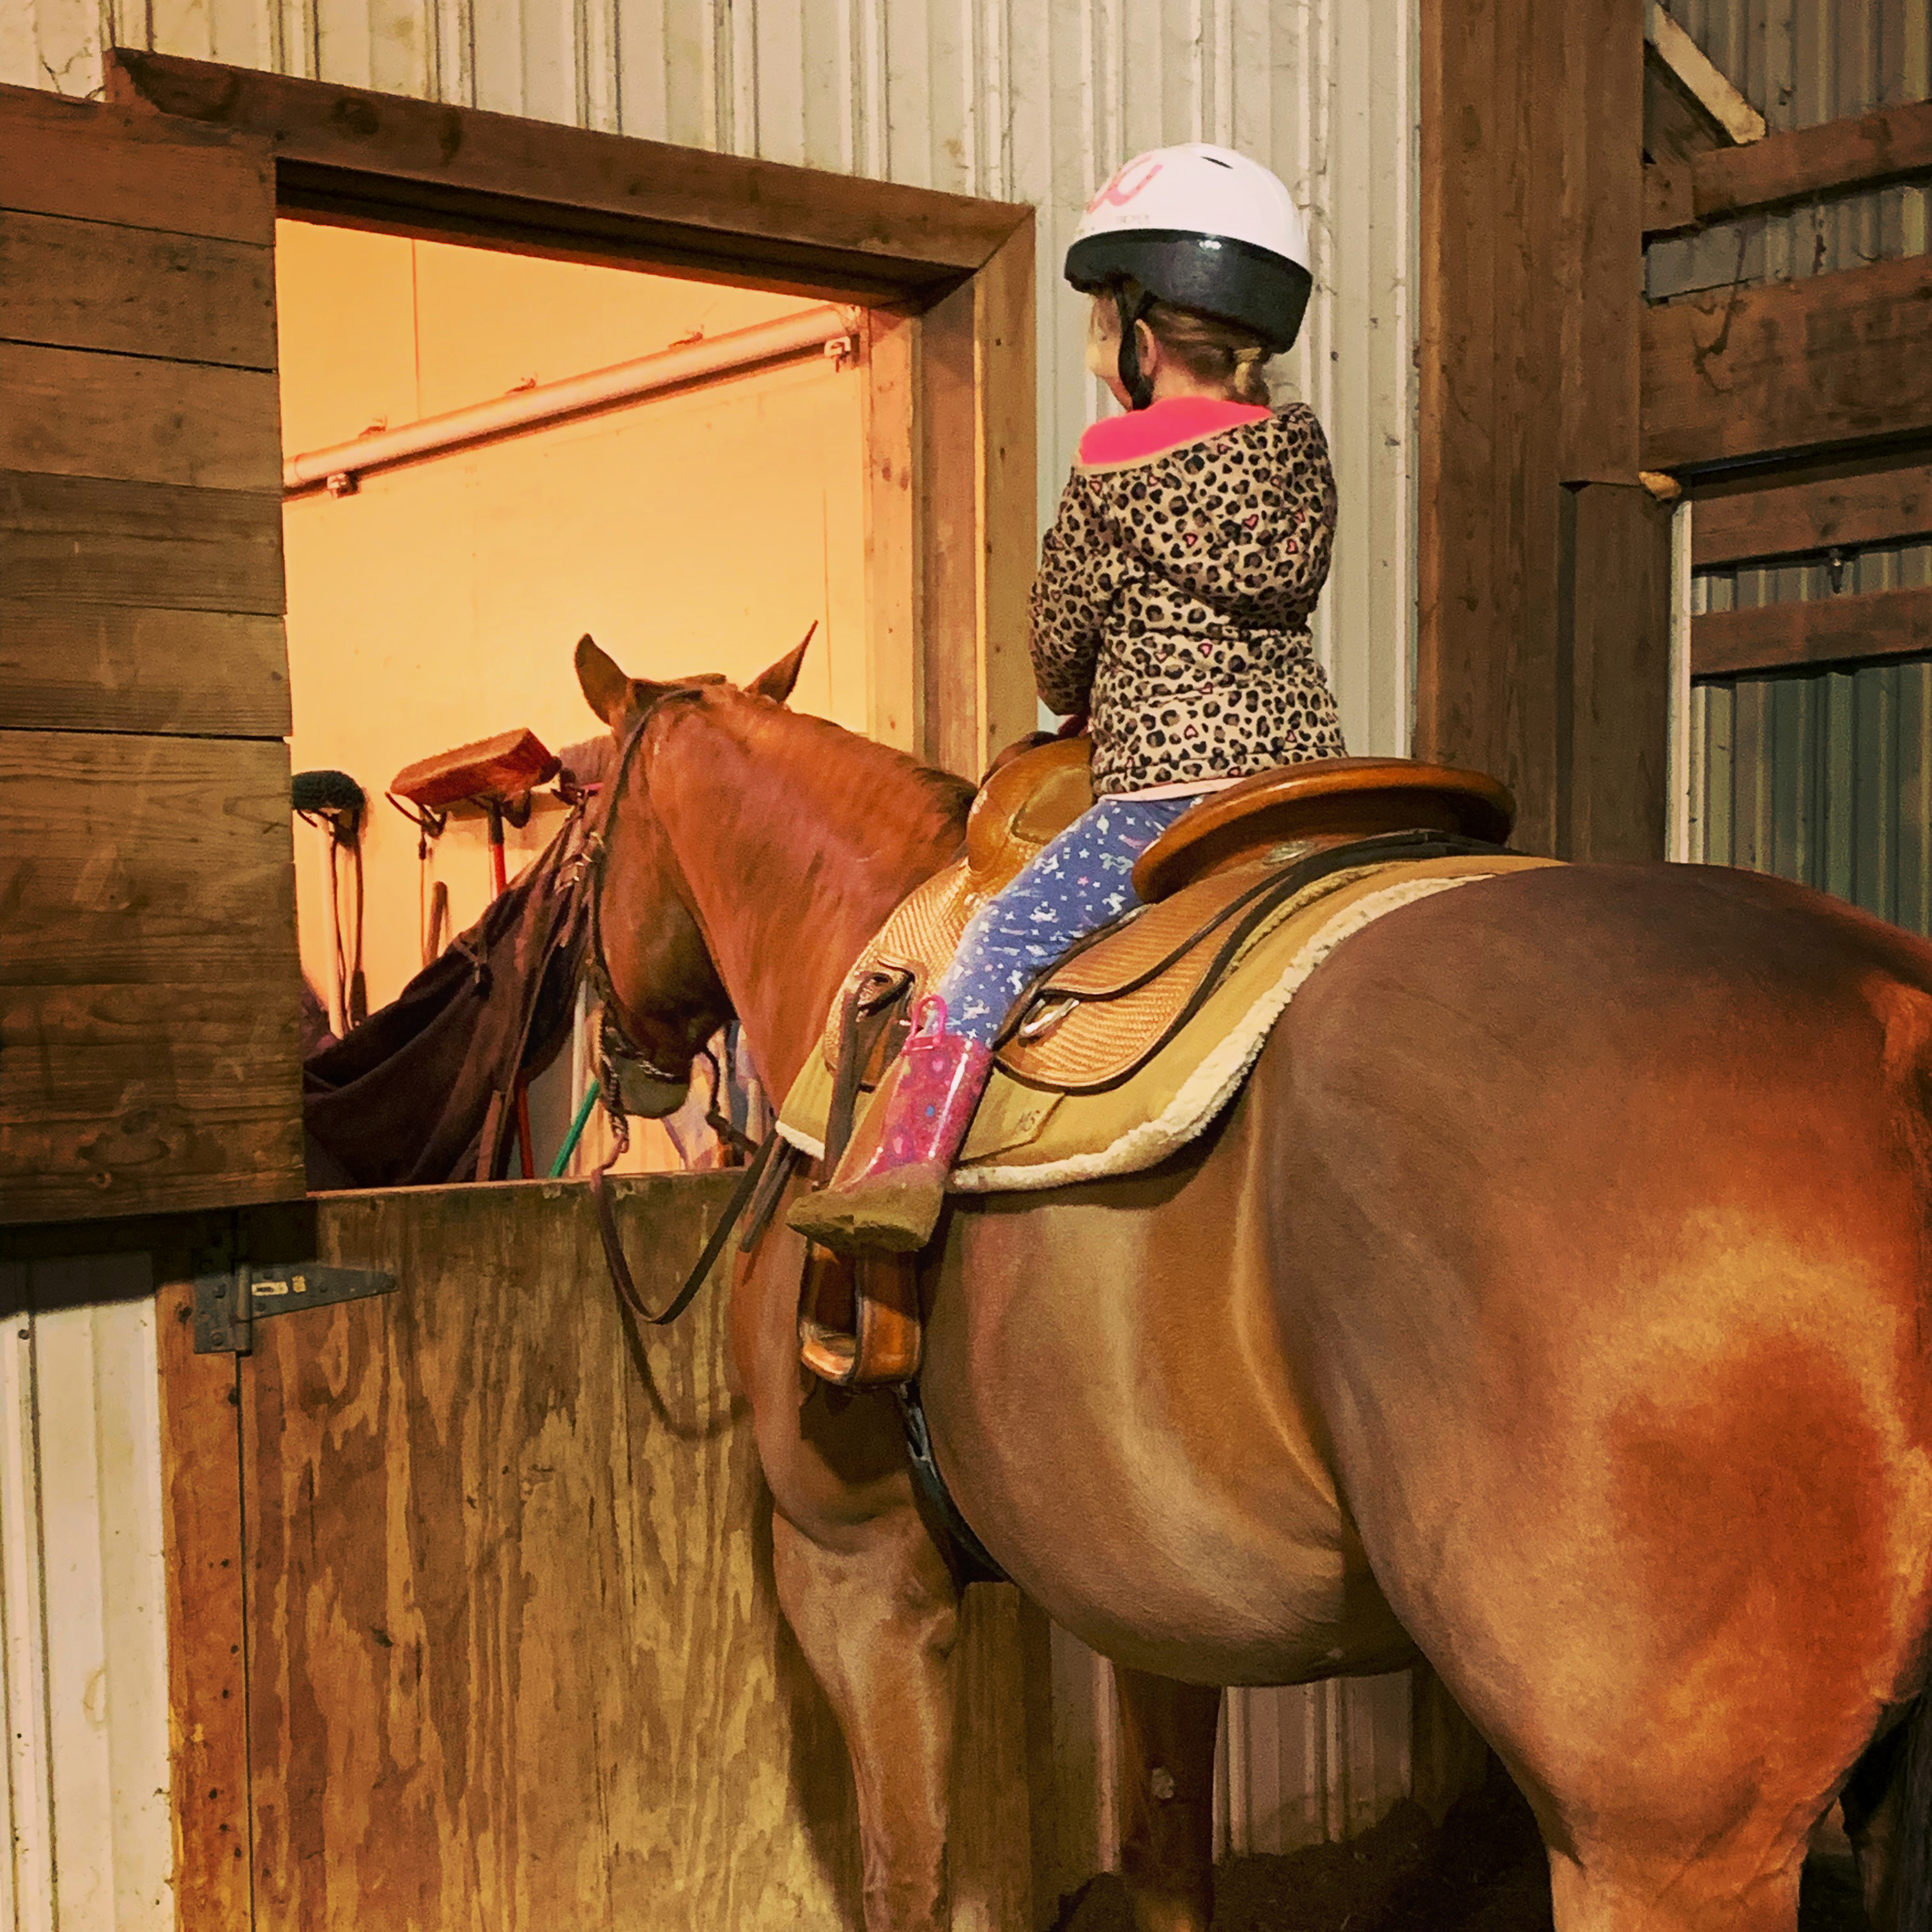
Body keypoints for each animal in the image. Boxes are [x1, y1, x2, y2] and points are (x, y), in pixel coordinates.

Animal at [579, 637, 1932, 1932]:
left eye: (575, 813)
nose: (619, 1064)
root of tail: (1888, 1008)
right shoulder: (1147, 1607)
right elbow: (1167, 1859)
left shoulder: (857, 1573)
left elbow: (900, 1883)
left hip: (1657, 1847)